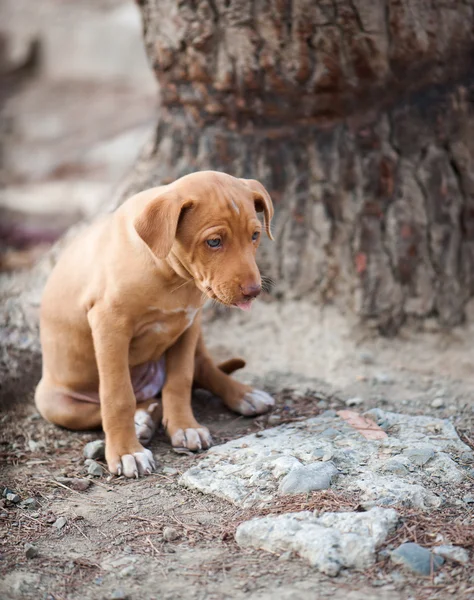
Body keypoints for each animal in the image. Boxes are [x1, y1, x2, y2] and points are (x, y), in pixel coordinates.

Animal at [35, 170, 276, 478]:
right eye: (213, 242)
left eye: (255, 236)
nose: (254, 291)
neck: (170, 275)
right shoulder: (110, 326)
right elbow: (117, 395)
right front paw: (127, 451)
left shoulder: (188, 324)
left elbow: (181, 380)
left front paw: (185, 427)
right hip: (54, 404)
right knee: (115, 405)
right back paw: (142, 419)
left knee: (202, 368)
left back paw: (244, 395)